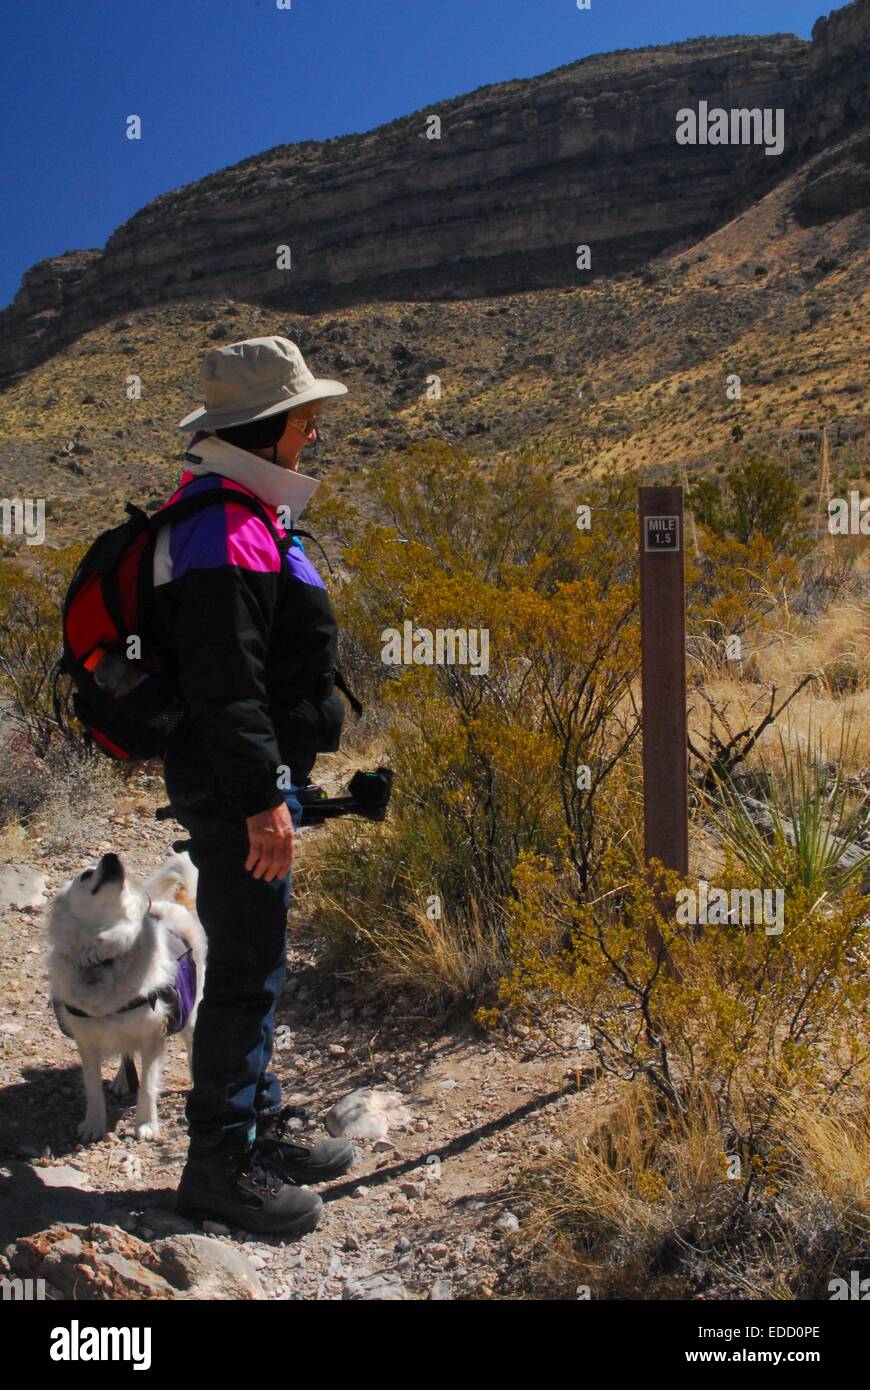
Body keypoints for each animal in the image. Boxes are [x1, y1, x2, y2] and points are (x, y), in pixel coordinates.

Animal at [48, 845, 207, 1139]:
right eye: (85, 875)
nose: (112, 858)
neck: (106, 955)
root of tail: (174, 906)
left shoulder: (153, 1037)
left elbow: (147, 1086)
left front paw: (145, 1124)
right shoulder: (87, 1041)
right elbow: (93, 1088)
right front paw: (93, 1124)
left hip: (190, 1013)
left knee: (192, 1046)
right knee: (125, 1051)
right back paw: (123, 1080)